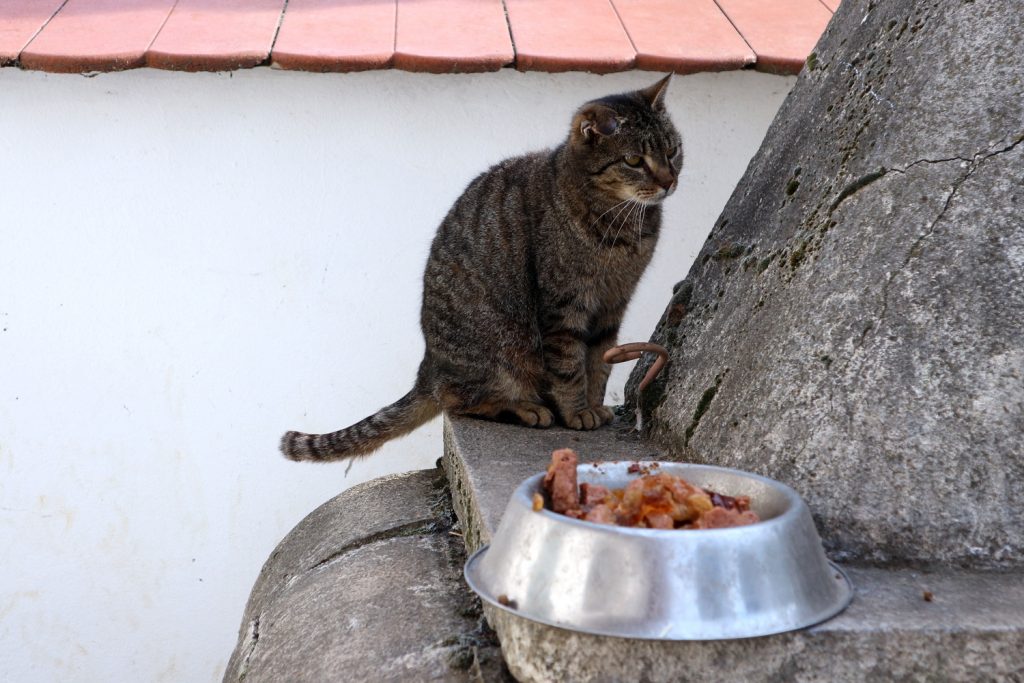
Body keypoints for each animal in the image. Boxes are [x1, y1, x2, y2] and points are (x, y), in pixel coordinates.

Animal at [281, 75, 681, 463]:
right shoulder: (564, 305)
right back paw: (524, 408)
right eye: (634, 160)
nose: (669, 180)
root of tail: (429, 369)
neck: (626, 227)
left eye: (672, 150)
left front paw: (594, 404)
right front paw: (577, 411)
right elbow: (569, 366)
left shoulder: (613, 304)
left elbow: (600, 361)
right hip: (500, 350)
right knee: (461, 402)